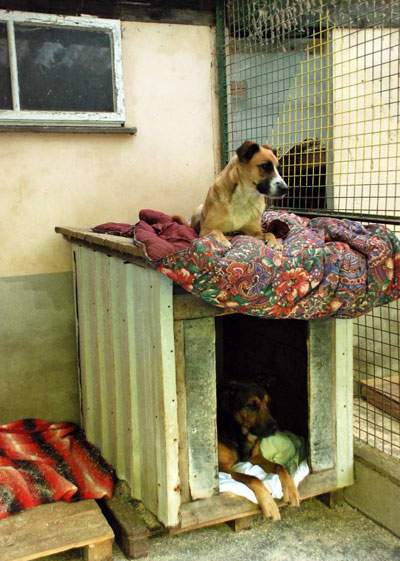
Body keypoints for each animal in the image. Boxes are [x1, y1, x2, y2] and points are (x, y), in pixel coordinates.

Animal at [217, 380, 300, 521]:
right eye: (251, 405)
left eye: (268, 403)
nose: (275, 428)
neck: (239, 432)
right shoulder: (223, 467)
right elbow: (252, 478)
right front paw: (269, 503)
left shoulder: (256, 457)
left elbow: (280, 466)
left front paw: (291, 490)